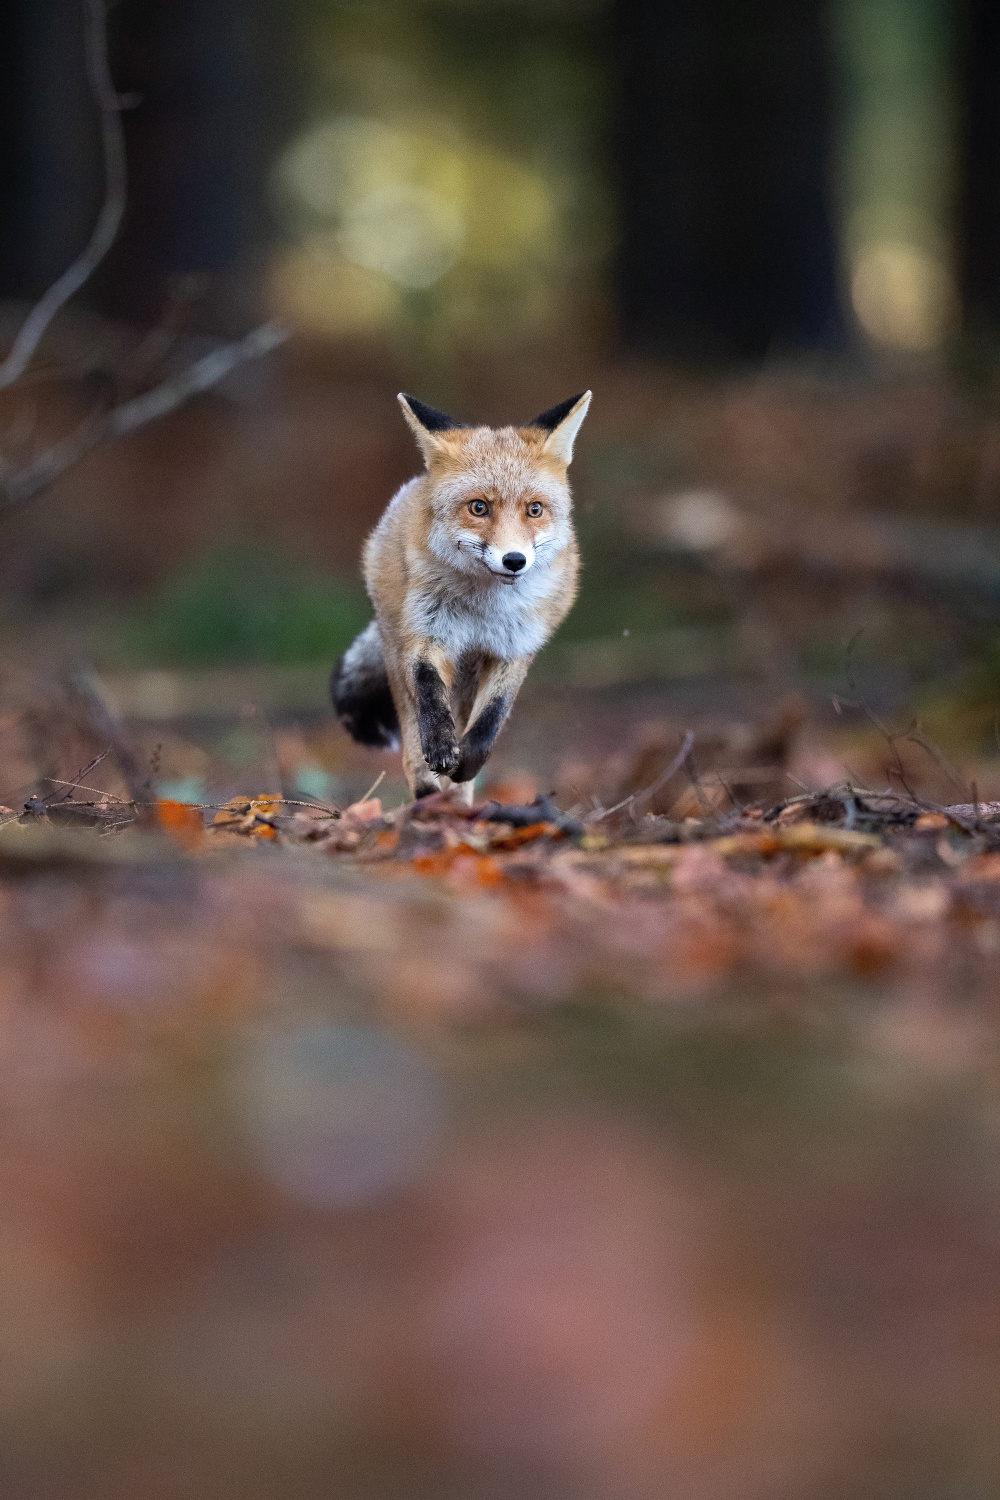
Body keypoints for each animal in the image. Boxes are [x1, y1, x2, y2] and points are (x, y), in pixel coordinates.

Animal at [332, 393, 590, 804]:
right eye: (478, 507)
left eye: (534, 509)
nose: (514, 560)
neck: (483, 610)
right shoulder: (426, 634)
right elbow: (428, 691)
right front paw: (441, 743)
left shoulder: (516, 646)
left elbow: (490, 721)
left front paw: (468, 760)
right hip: (397, 649)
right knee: (412, 750)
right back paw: (429, 799)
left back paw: (457, 807)